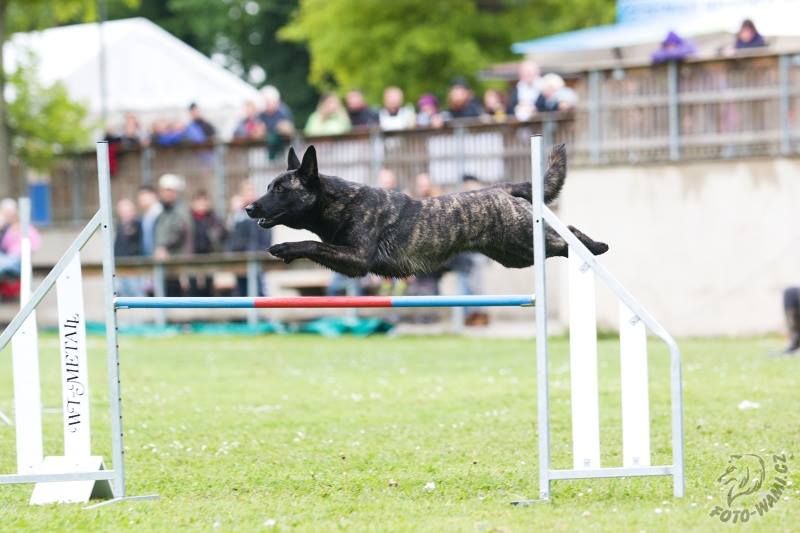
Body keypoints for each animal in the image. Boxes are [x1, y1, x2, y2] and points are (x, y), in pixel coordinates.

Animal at [244, 144, 608, 278]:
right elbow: (316, 245)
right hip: (517, 255)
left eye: (279, 190)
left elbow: (311, 244)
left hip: (525, 242)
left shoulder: (357, 259)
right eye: (268, 186)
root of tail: (500, 189)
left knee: (567, 235)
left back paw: (595, 246)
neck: (341, 201)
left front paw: (285, 247)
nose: (247, 207)